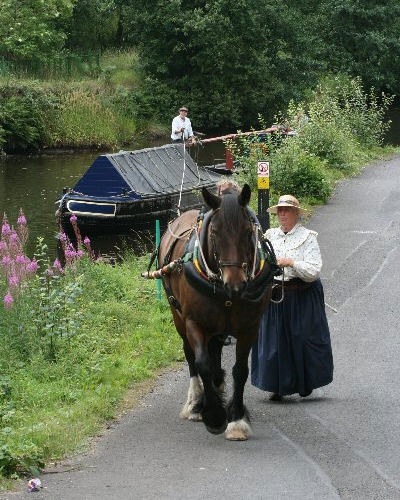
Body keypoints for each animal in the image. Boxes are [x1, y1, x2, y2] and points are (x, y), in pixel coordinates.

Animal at [156, 185, 278, 442]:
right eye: (214, 233)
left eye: (247, 232)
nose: (236, 285)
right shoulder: (194, 322)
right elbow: (201, 362)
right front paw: (213, 415)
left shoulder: (250, 327)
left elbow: (240, 370)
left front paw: (237, 419)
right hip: (178, 316)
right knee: (191, 354)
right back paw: (195, 403)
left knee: (216, 349)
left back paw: (217, 384)